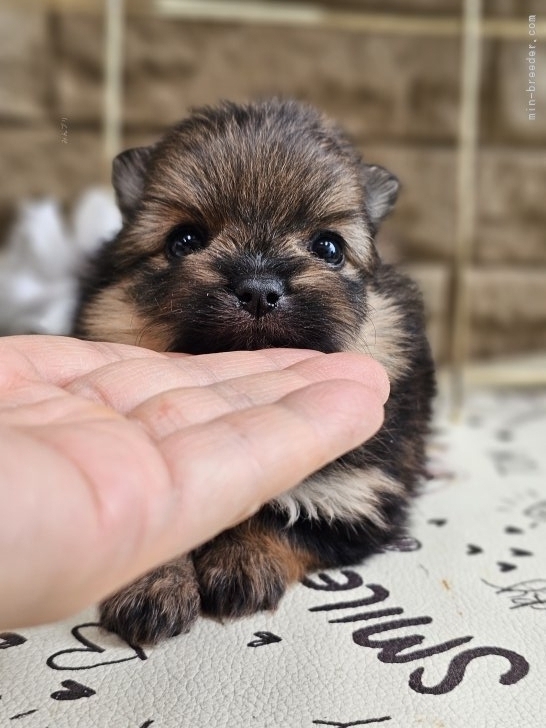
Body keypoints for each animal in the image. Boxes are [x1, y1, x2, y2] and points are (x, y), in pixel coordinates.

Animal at [75, 98, 434, 644]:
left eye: (329, 248)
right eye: (184, 240)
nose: (260, 288)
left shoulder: (355, 493)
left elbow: (285, 513)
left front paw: (242, 563)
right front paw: (153, 587)